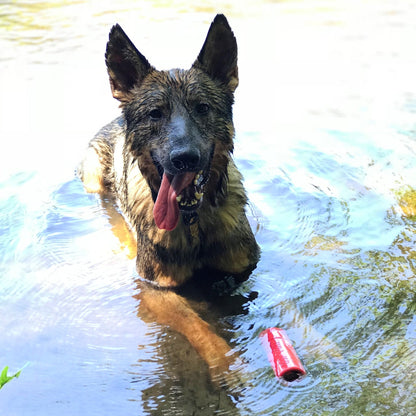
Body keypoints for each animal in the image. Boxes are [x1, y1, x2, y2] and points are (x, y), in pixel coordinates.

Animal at [78, 14, 258, 386]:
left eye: (202, 108)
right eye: (155, 114)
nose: (184, 159)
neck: (195, 225)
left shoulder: (245, 269)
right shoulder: (156, 289)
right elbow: (197, 323)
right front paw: (226, 362)